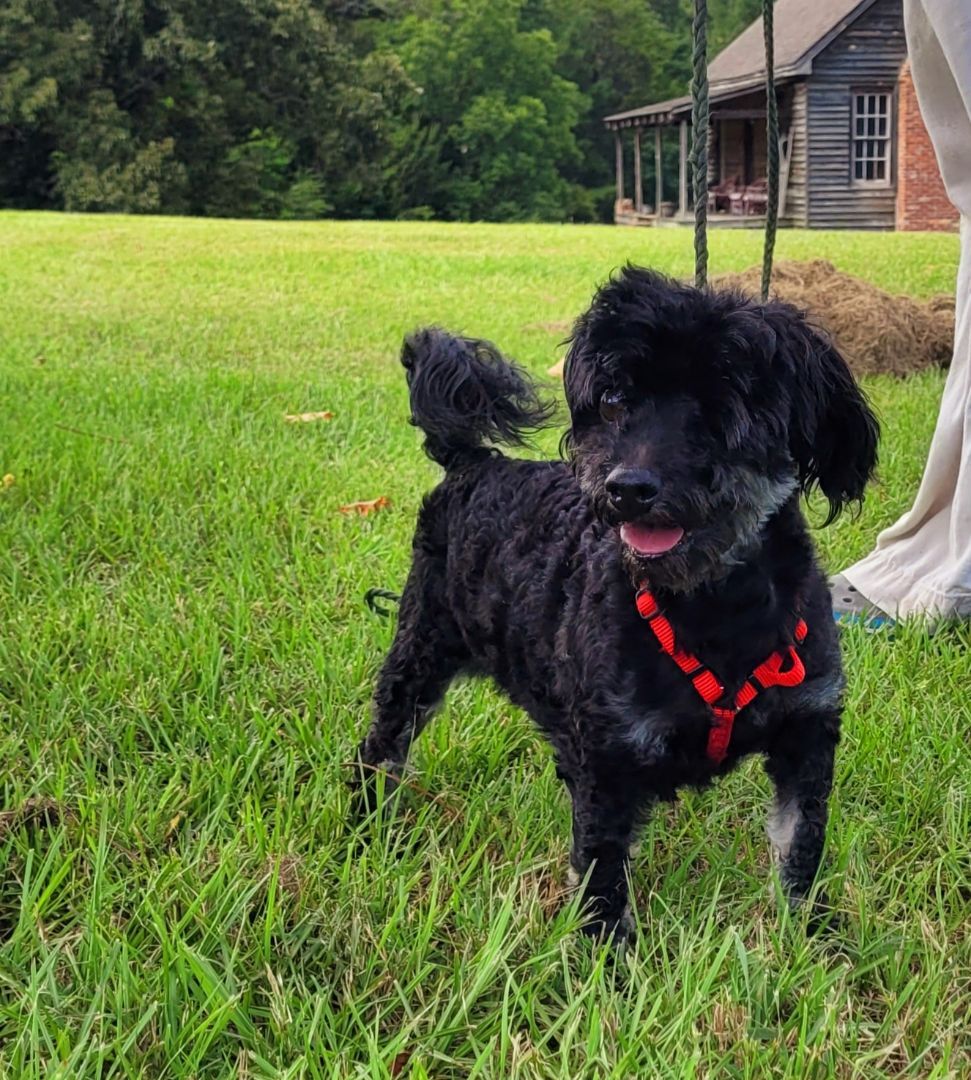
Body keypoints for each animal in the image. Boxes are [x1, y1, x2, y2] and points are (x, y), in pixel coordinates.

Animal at [356, 265, 881, 941]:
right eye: (612, 402)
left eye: (725, 405)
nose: (627, 488)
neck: (715, 611)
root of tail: (473, 462)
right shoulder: (608, 756)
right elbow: (603, 872)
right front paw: (609, 957)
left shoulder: (808, 730)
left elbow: (800, 844)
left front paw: (809, 936)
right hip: (421, 645)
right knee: (383, 744)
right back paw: (367, 821)